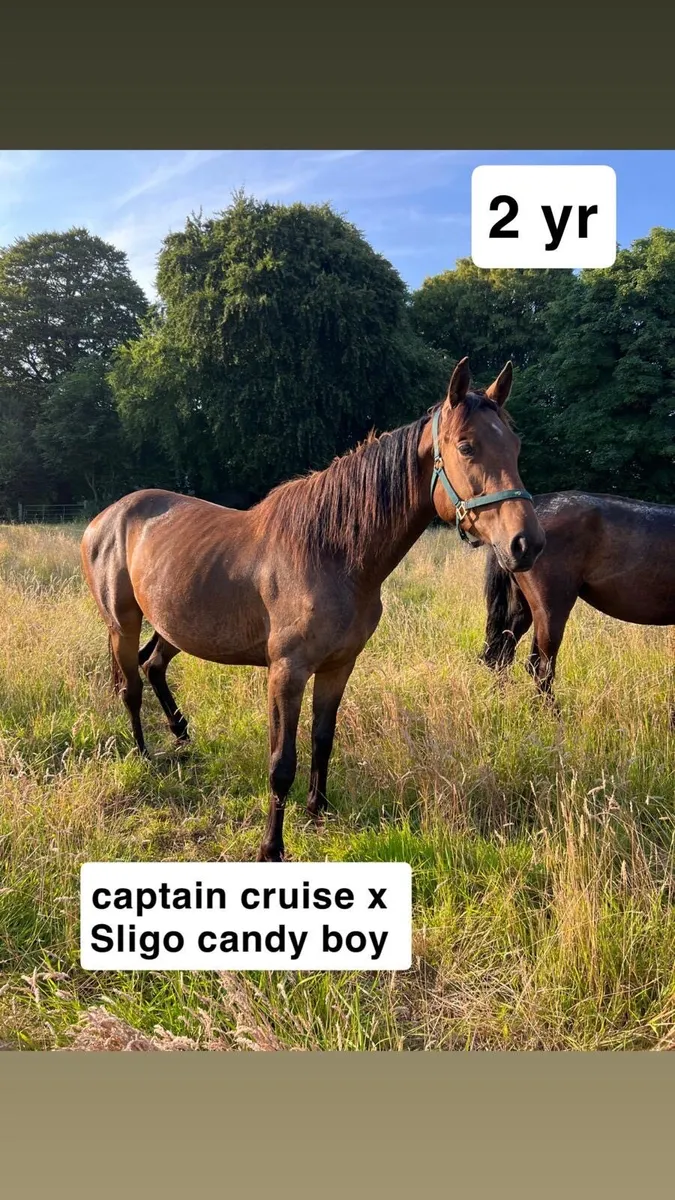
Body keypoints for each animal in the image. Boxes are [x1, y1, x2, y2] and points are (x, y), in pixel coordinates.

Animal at [81, 357, 545, 861]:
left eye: (515, 446)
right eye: (466, 446)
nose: (527, 544)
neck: (332, 553)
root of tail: (106, 518)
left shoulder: (339, 666)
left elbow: (323, 739)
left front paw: (318, 808)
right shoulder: (287, 671)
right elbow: (282, 761)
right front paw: (271, 847)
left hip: (175, 625)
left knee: (154, 667)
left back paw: (182, 734)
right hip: (121, 624)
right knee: (130, 686)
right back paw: (144, 754)